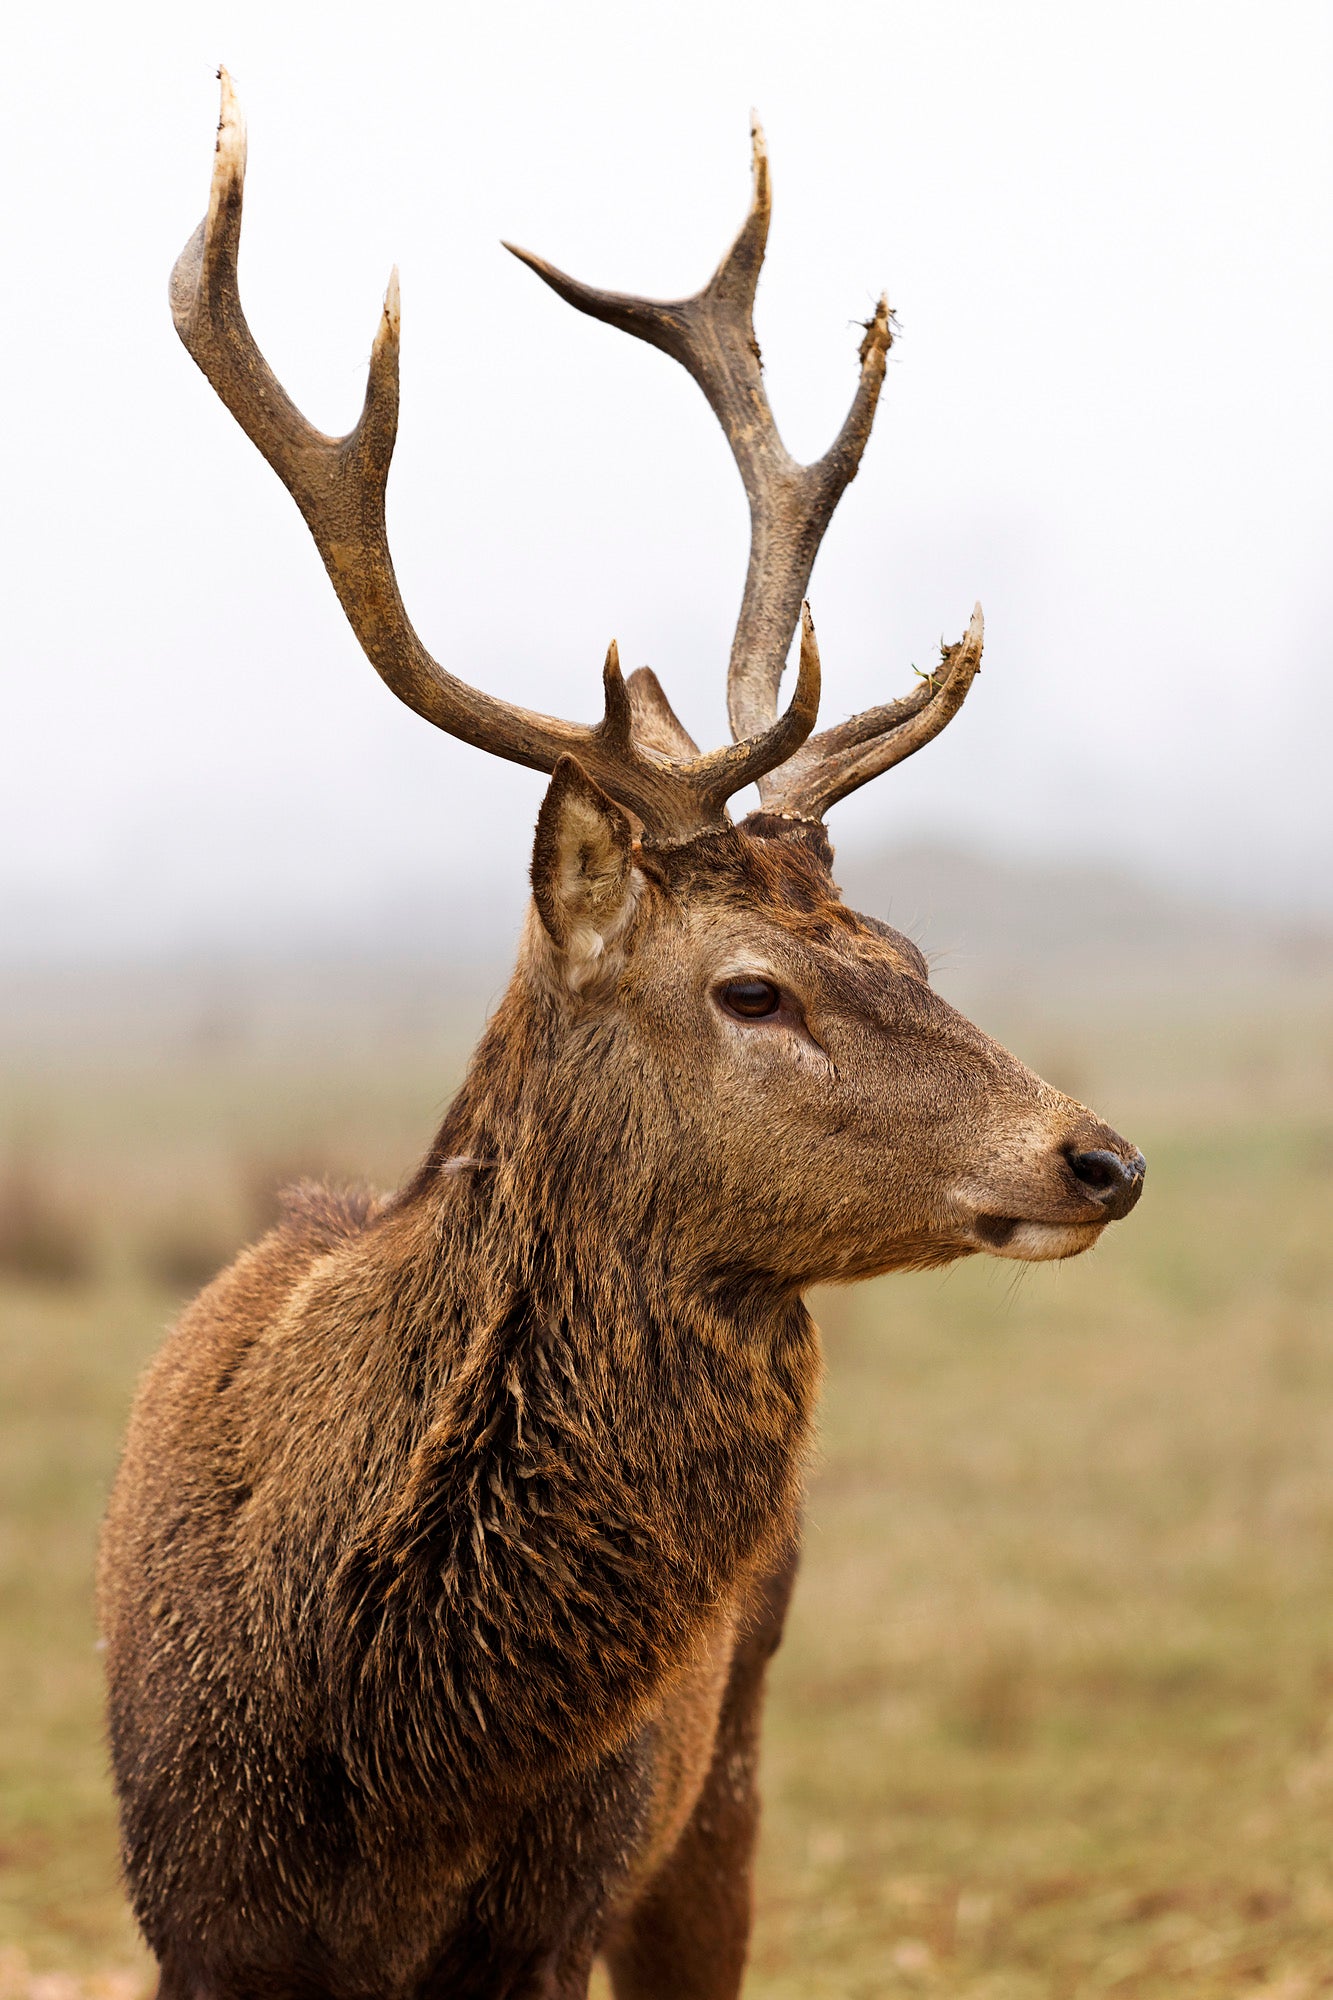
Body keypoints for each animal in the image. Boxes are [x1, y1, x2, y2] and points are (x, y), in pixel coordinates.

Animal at [98, 72, 1146, 2000]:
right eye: (752, 988)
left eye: (905, 943)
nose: (1097, 1154)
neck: (375, 1767)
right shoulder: (189, 1905)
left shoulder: (557, 1890)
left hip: (724, 1764)